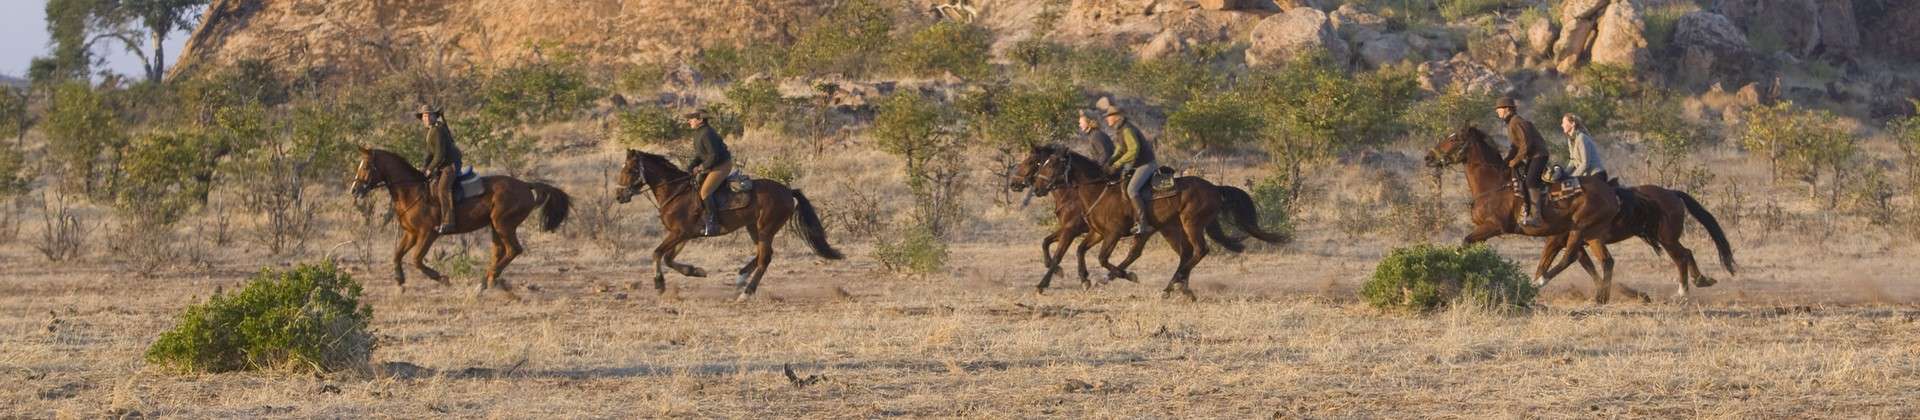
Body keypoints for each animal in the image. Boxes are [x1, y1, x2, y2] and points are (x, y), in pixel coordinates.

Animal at [349, 147, 568, 295]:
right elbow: (397, 255)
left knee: (514, 250)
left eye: (366, 166)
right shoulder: (411, 233)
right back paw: (486, 282)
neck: (412, 191)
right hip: (496, 227)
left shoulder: (428, 233)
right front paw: (399, 281)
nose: (355, 189)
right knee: (499, 252)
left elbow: (416, 259)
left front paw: (442, 279)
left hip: (504, 225)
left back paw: (488, 280)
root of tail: (525, 185)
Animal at [606, 149, 833, 301]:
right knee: (761, 254)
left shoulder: (679, 233)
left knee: (765, 258)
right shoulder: (684, 235)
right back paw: (740, 280)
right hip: (753, 227)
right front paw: (696, 271)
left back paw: (746, 293)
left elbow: (657, 253)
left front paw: (659, 284)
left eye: (632, 170)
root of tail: (787, 191)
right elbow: (669, 258)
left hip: (765, 228)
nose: (619, 196)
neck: (675, 191)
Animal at [1006, 145, 1290, 293]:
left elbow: (1071, 254)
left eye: (1036, 162)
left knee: (1198, 250)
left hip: (1190, 224)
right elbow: (1065, 248)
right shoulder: (1093, 232)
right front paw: (1084, 278)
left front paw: (1045, 283)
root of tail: (1215, 188)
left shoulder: (1091, 231)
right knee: (1182, 253)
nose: (1017, 183)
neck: (1093, 190)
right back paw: (1178, 287)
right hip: (1169, 228)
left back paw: (1173, 285)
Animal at [1420, 126, 1628, 303]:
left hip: (1579, 228)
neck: (1494, 184)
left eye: (1454, 138)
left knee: (1569, 257)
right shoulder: (1483, 230)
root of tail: (1611, 192)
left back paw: (1539, 282)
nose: (1428, 157)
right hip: (1592, 233)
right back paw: (1601, 296)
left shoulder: (1494, 227)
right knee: (1606, 260)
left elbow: (1464, 242)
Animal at [1528, 185, 1743, 301]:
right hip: (1668, 239)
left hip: (1667, 239)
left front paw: (1536, 284)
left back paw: (1682, 292)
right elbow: (1589, 267)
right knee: (1687, 252)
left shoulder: (1560, 241)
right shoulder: (1577, 244)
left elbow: (1546, 264)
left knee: (1681, 257)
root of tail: (1672, 193)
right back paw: (1700, 280)